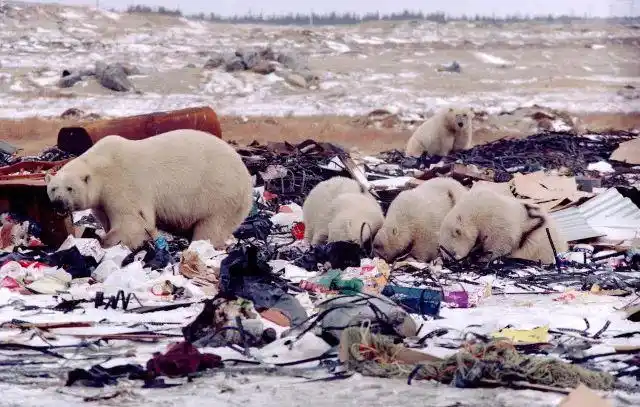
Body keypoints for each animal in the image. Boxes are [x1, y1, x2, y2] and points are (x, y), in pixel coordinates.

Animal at [45, 129, 254, 250]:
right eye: (53, 189)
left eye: (70, 188)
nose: (58, 203)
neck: (101, 167)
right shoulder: (101, 200)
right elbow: (106, 217)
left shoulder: (122, 184)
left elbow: (132, 221)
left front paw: (106, 241)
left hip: (219, 193)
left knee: (211, 226)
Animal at [438, 188, 568, 264]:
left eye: (452, 252)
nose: (448, 262)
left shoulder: (495, 221)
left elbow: (499, 243)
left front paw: (484, 258)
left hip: (540, 244)